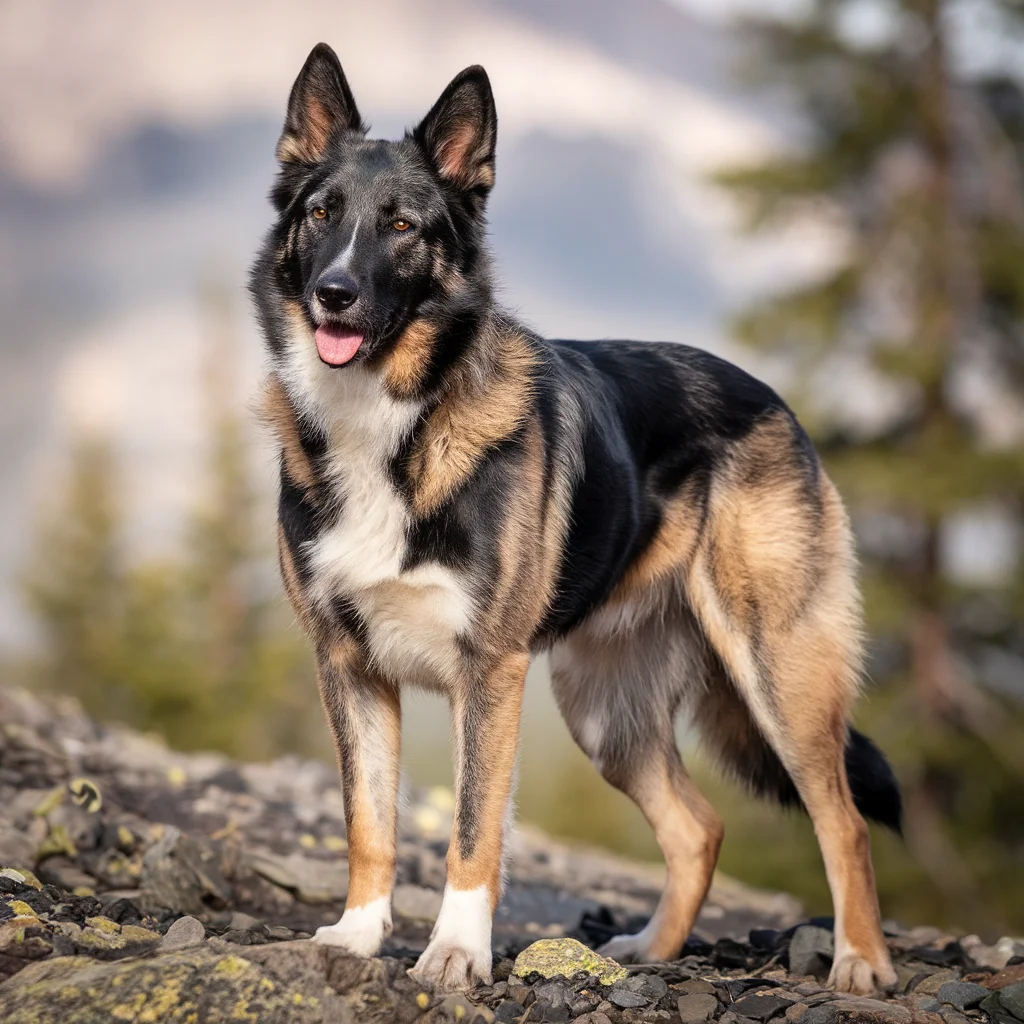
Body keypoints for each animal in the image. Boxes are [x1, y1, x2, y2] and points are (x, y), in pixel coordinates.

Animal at [251, 44, 901, 995]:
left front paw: (456, 952)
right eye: (322, 213)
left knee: (842, 819)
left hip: (779, 674)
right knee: (698, 827)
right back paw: (651, 951)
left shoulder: (489, 676)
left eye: (403, 226)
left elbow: (474, 829)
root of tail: (775, 401)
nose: (334, 294)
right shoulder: (350, 667)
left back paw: (859, 962)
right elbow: (368, 821)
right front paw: (359, 935)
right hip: (606, 716)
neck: (397, 421)